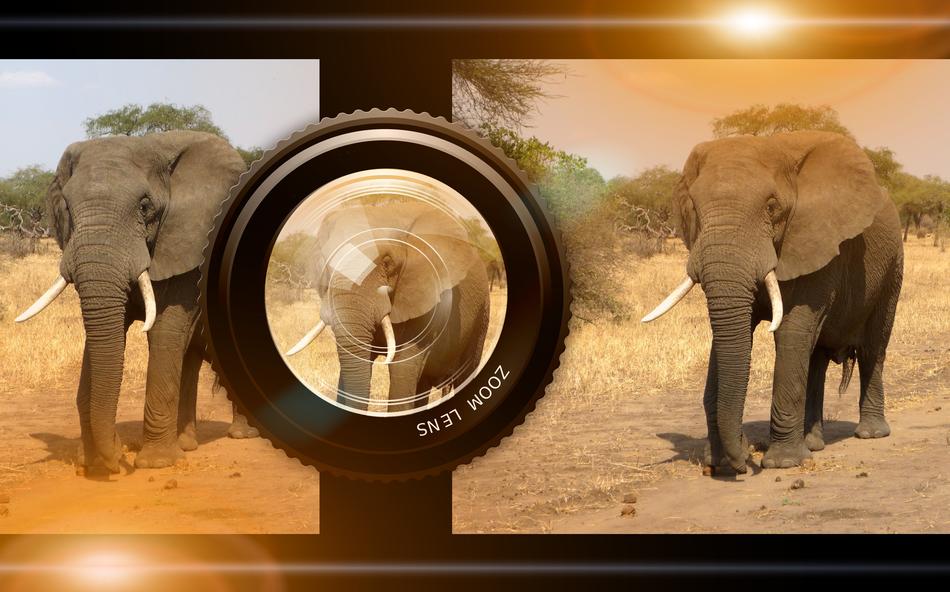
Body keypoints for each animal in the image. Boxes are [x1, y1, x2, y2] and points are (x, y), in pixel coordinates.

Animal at [16, 131, 259, 474]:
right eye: (68, 208)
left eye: (145, 207)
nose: (118, 459)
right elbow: (105, 331)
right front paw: (94, 461)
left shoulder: (187, 244)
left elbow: (164, 331)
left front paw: (156, 463)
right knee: (190, 357)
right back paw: (187, 444)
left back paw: (242, 435)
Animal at [643, 130, 903, 473]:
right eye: (695, 209)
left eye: (771, 207)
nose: (743, 458)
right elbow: (731, 335)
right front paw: (720, 461)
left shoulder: (815, 242)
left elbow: (791, 332)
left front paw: (783, 463)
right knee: (816, 357)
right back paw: (813, 443)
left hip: (893, 266)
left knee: (874, 346)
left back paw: (871, 434)